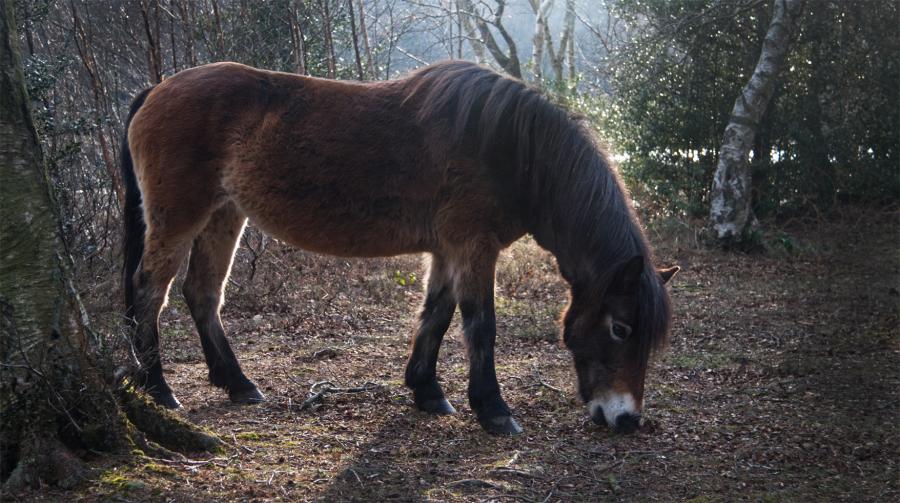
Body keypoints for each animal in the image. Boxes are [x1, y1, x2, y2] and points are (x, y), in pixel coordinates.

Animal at [123, 61, 680, 436]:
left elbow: (437, 314)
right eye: (620, 327)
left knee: (202, 294)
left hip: (224, 215)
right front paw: (493, 409)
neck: (507, 148)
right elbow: (480, 324)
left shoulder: (448, 251)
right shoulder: (473, 246)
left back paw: (237, 383)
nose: (626, 418)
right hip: (180, 218)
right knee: (150, 293)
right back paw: (158, 388)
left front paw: (426, 390)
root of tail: (158, 88)